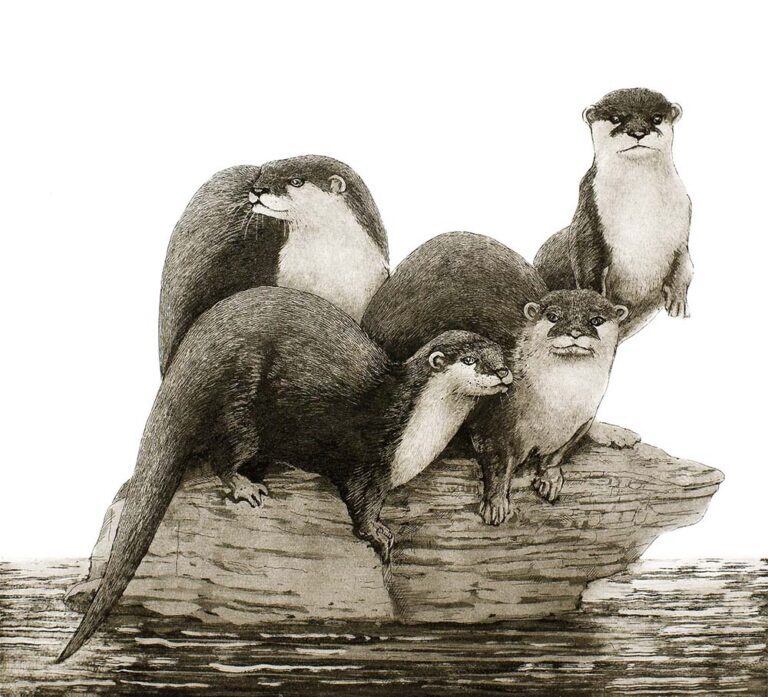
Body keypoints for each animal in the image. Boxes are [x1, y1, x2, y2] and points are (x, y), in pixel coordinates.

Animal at [58, 287, 510, 662]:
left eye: (498, 353)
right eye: (471, 360)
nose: (504, 372)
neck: (414, 425)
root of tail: (190, 359)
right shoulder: (367, 457)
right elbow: (361, 504)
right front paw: (380, 534)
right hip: (240, 405)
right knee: (222, 455)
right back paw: (245, 486)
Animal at [362, 232, 627, 525]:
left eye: (597, 320)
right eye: (553, 316)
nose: (575, 332)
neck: (558, 406)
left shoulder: (582, 420)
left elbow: (557, 454)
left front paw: (549, 477)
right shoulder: (497, 422)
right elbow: (498, 465)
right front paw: (496, 503)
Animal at [534, 88, 692, 340]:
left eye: (656, 118)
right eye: (616, 118)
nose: (638, 131)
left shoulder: (682, 224)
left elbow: (685, 265)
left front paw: (678, 302)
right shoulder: (588, 222)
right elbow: (588, 267)